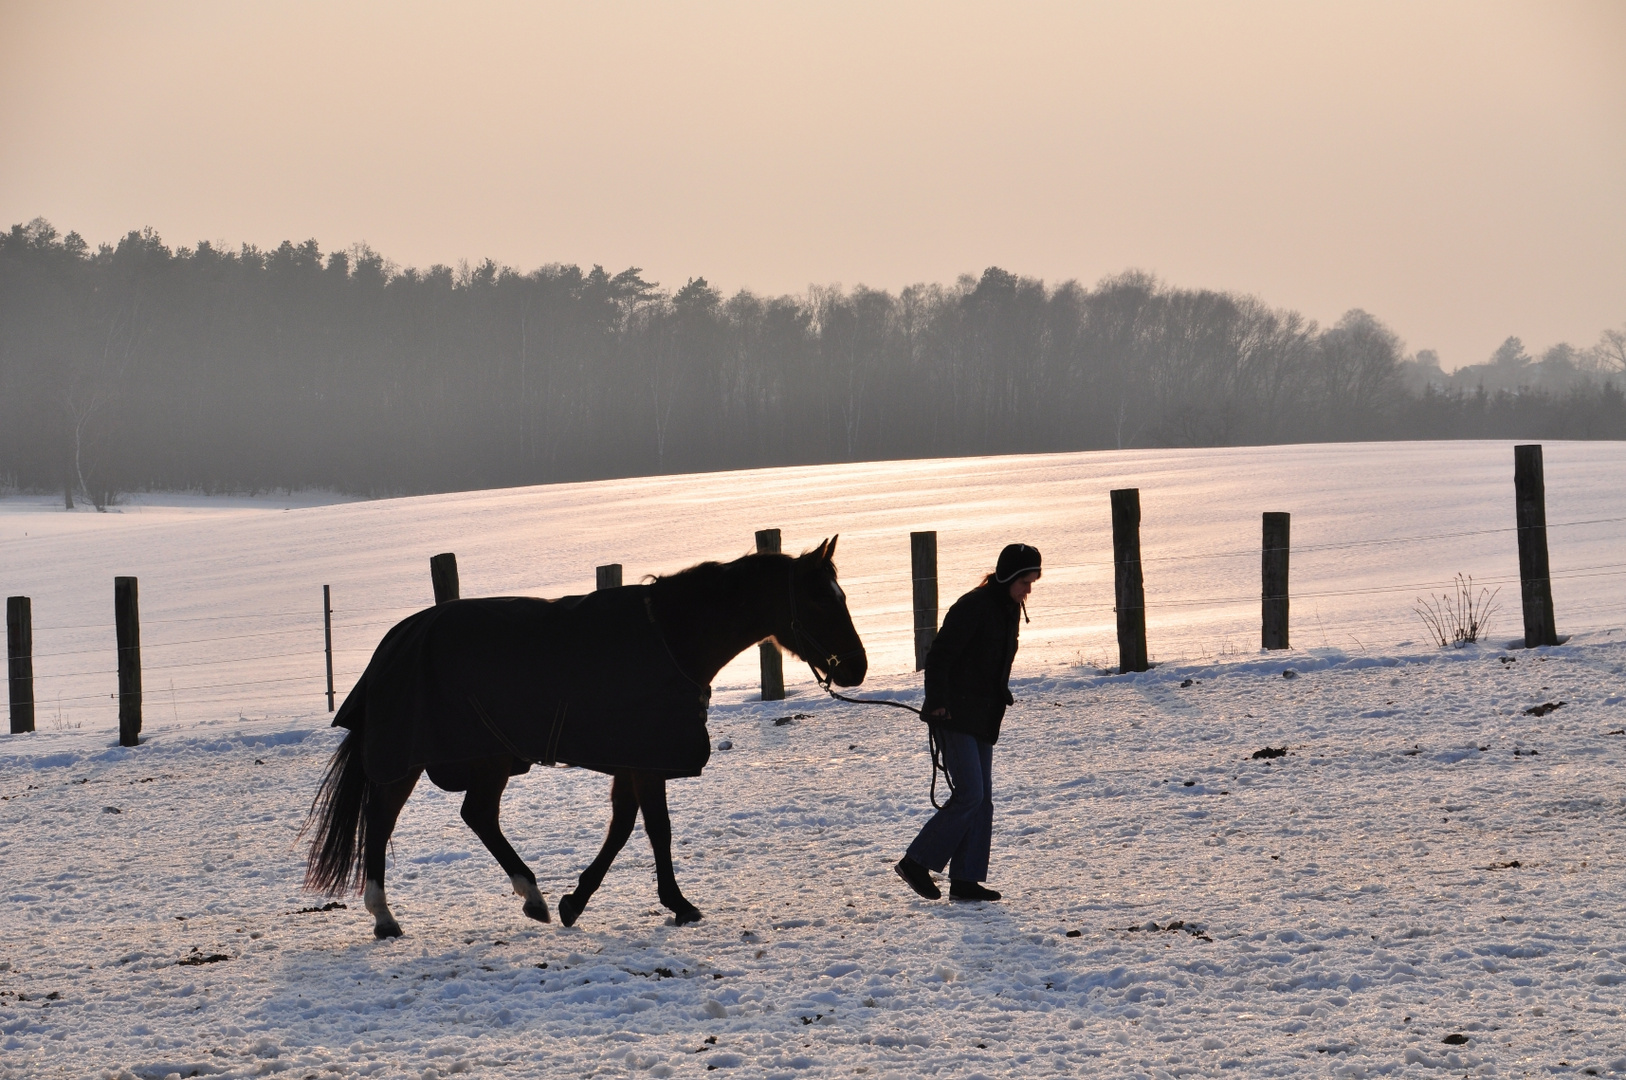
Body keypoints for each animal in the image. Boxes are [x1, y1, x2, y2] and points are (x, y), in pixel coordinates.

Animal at [302, 536, 865, 936]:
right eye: (820, 602)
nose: (856, 667)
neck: (671, 637)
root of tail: (395, 641)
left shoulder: (633, 760)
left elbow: (622, 827)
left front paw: (577, 900)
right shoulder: (647, 759)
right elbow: (655, 828)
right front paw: (678, 903)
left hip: (481, 757)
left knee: (468, 816)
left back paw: (525, 898)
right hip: (420, 755)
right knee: (387, 819)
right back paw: (388, 914)